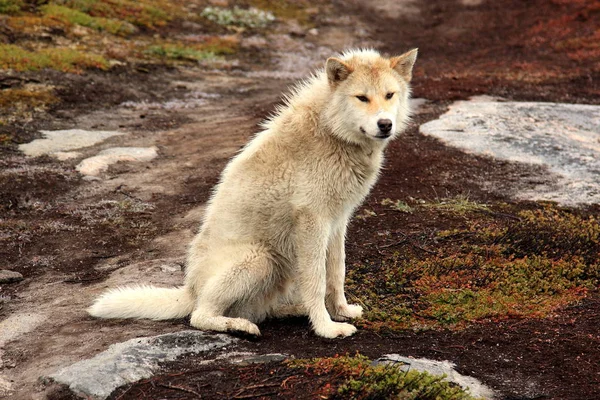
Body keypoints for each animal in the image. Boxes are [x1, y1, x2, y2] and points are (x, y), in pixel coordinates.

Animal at [88, 48, 418, 340]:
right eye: (362, 97)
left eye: (389, 95)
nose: (385, 124)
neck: (331, 130)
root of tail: (190, 289)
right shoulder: (312, 223)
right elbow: (316, 280)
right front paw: (326, 329)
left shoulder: (337, 223)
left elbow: (336, 273)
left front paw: (341, 312)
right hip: (259, 259)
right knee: (200, 316)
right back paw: (239, 327)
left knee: (262, 310)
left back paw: (291, 311)